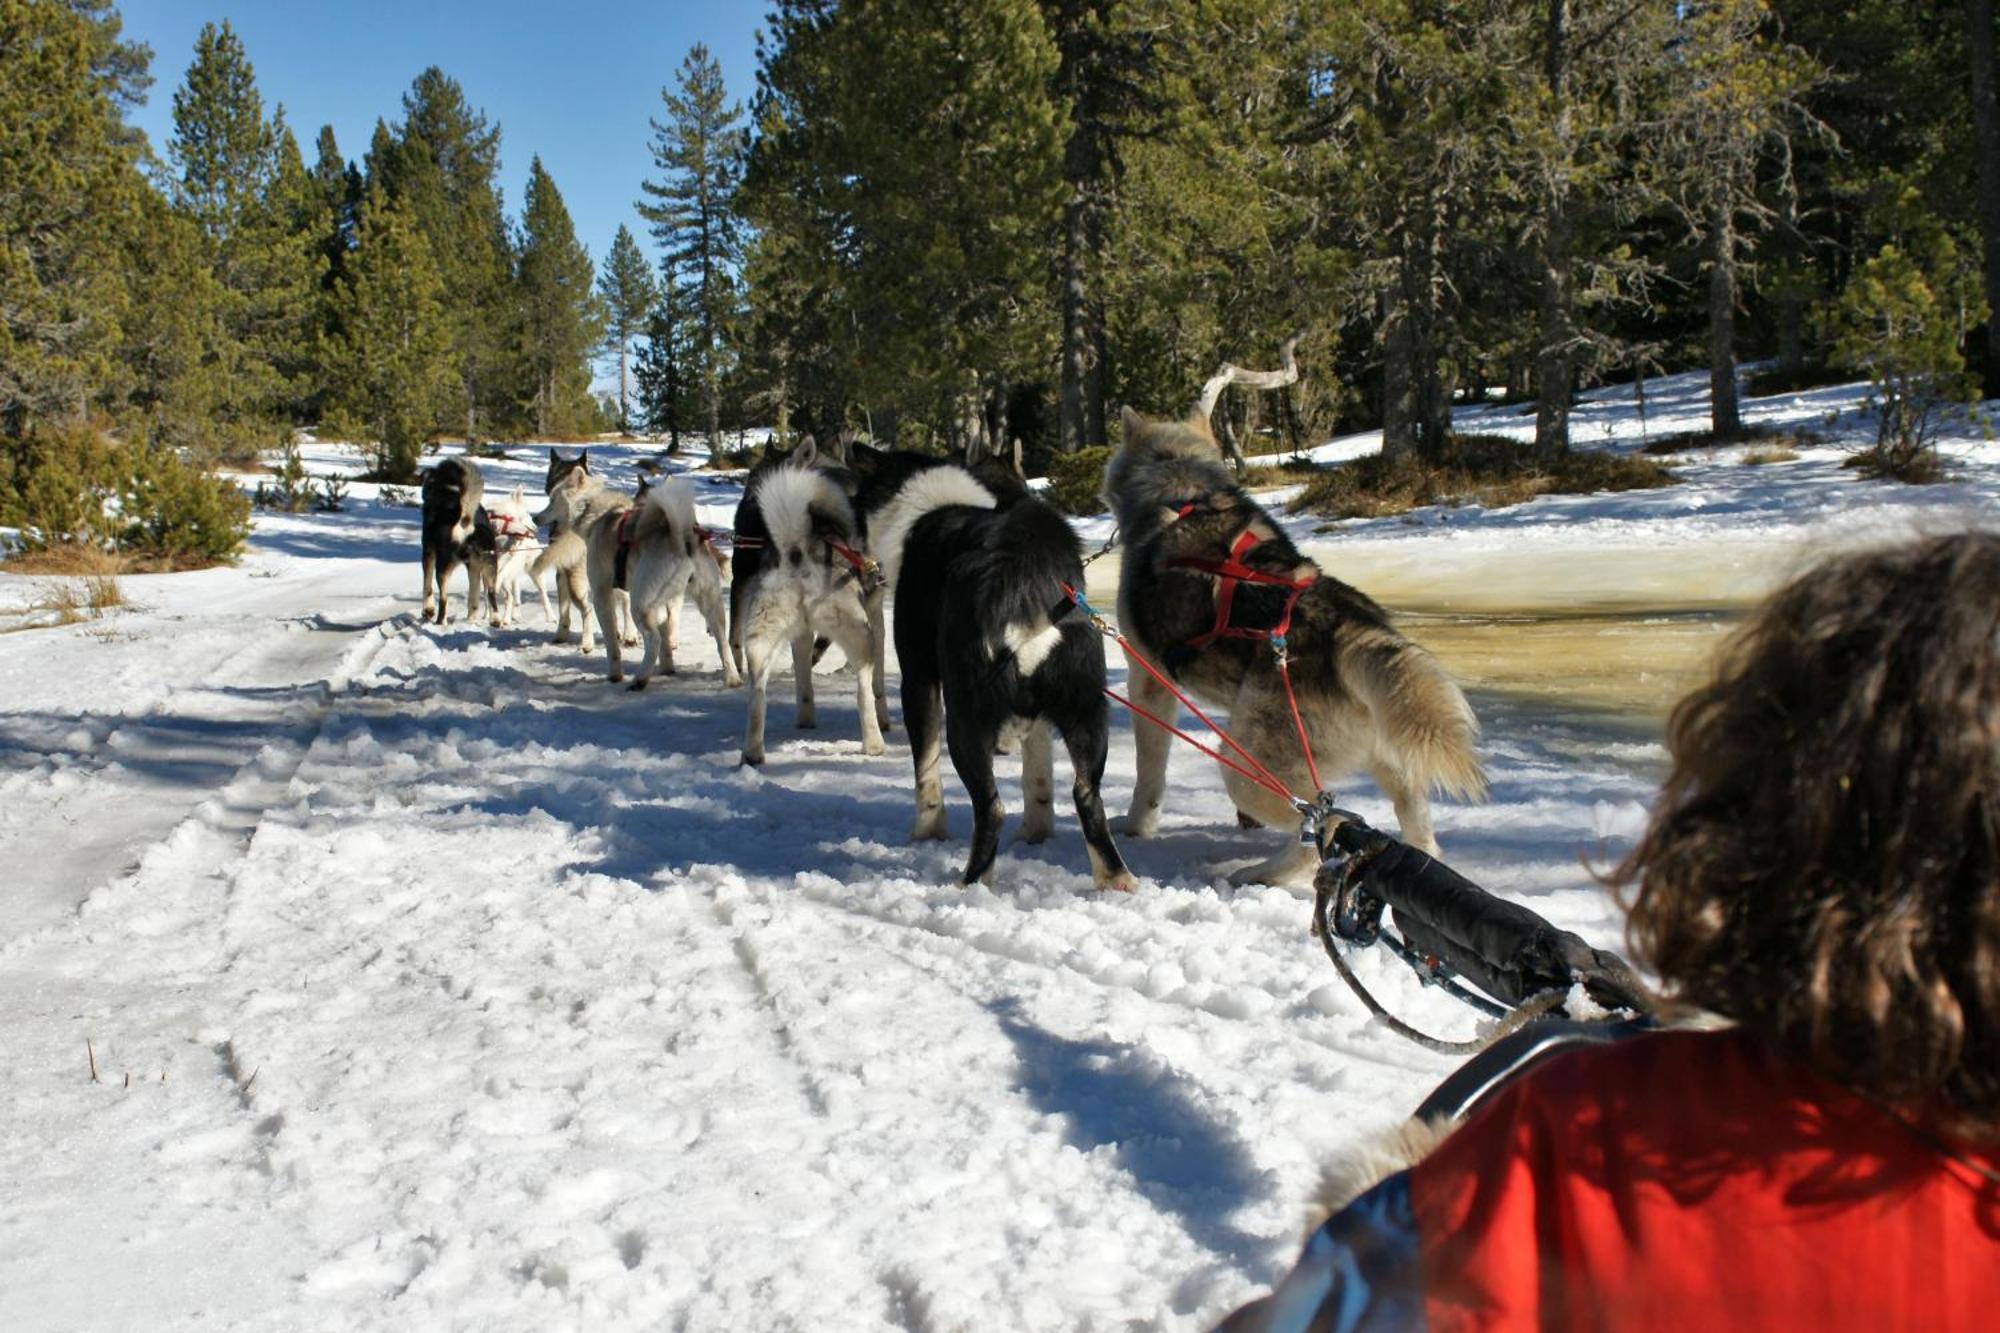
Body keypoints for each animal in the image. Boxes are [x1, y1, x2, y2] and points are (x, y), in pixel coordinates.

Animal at [422, 456, 492, 624]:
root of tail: (465, 521)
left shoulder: (428, 551)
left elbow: (427, 586)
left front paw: (428, 610)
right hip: (479, 568)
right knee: (475, 602)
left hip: (443, 568)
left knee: (444, 601)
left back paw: (440, 622)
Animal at [736, 456, 884, 764]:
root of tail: (797, 549)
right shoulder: (877, 617)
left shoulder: (802, 636)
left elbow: (804, 682)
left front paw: (806, 719)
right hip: (862, 637)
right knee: (863, 693)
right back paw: (874, 744)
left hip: (760, 644)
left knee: (757, 697)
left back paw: (753, 753)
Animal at [1096, 404, 1488, 880]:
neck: (1181, 488)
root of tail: (1349, 626)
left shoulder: (1149, 682)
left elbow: (1148, 775)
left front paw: (1136, 827)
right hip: (1378, 756)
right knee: (1412, 823)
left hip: (1244, 766)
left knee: (1323, 825)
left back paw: (1257, 875)